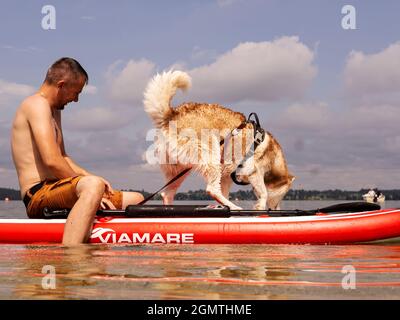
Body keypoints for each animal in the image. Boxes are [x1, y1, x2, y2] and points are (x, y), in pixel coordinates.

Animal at [144, 70, 294, 210]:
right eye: (282, 196)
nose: (276, 208)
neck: (274, 159)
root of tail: (173, 114)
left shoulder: (227, 175)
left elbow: (226, 191)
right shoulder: (253, 172)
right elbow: (264, 193)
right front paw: (260, 206)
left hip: (181, 169)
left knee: (167, 193)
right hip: (210, 152)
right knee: (212, 189)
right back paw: (234, 207)